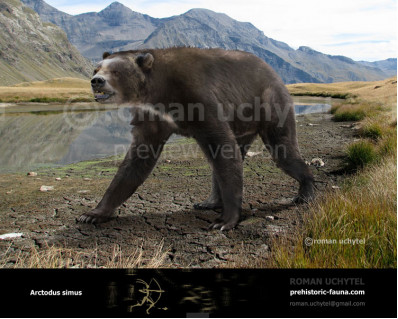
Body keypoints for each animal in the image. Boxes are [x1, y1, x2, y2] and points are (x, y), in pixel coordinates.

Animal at [77, 47, 314, 231]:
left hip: (269, 103)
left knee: (282, 149)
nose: (96, 81)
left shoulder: (197, 97)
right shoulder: (152, 117)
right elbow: (136, 161)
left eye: (115, 71)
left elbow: (222, 145)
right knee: (227, 159)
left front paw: (225, 221)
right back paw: (209, 202)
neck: (159, 89)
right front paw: (92, 213)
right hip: (243, 125)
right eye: (96, 68)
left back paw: (306, 191)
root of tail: (273, 72)